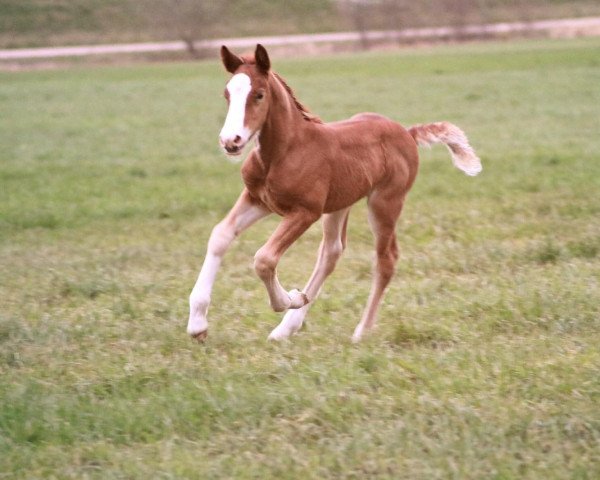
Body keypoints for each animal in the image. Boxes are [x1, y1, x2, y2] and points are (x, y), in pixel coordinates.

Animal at [185, 45, 480, 344]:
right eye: (227, 94)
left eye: (259, 94)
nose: (230, 141)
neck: (284, 151)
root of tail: (407, 133)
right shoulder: (257, 199)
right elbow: (220, 236)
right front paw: (198, 324)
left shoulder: (305, 212)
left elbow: (264, 259)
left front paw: (290, 298)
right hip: (340, 203)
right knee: (332, 252)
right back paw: (285, 329)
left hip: (385, 202)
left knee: (386, 260)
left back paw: (360, 332)